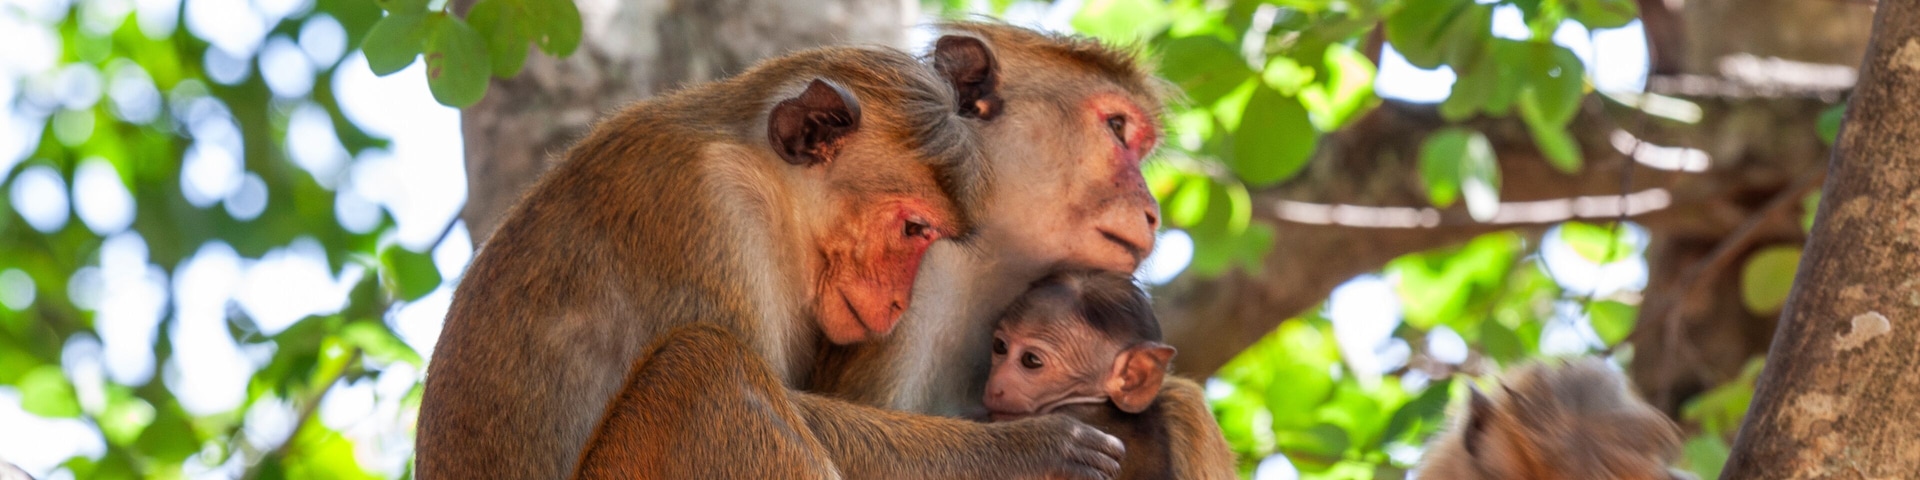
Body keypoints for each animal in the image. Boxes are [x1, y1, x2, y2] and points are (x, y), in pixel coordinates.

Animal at [415, 45, 1125, 480]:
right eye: (914, 228)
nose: (900, 302)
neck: (769, 186)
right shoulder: (705, 204)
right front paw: (1030, 449)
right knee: (705, 364)